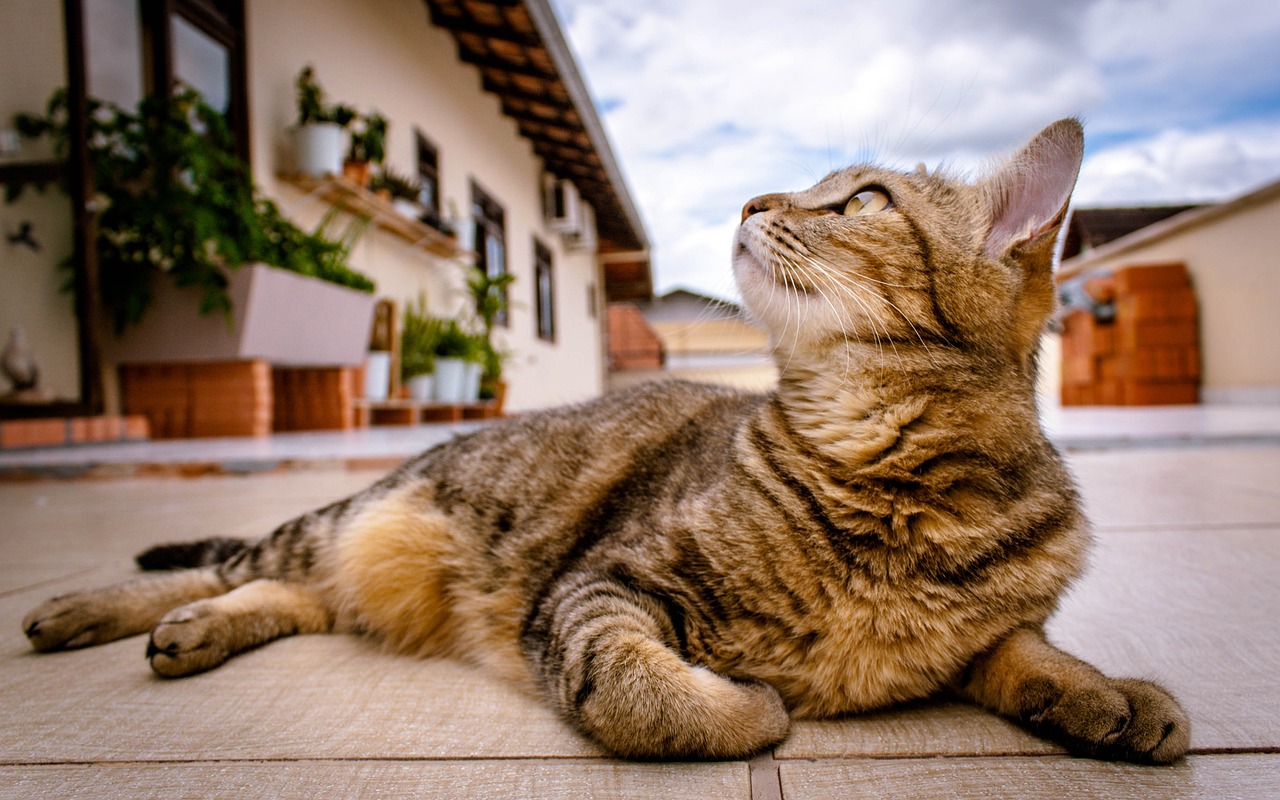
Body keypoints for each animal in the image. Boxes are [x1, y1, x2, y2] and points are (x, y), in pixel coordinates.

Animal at [20, 117, 1187, 762]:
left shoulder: (992, 636)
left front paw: (1112, 696)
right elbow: (635, 690)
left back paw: (197, 631)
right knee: (229, 562)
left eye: (859, 199)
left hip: (355, 565)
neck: (890, 478)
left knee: (291, 594)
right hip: (355, 517)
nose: (753, 197)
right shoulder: (601, 584)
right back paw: (89, 610)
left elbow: (1027, 650)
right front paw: (750, 706)